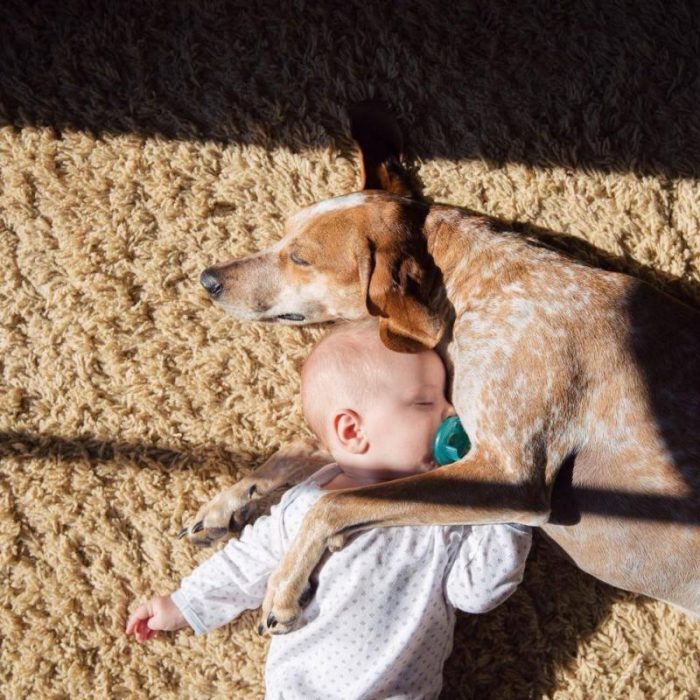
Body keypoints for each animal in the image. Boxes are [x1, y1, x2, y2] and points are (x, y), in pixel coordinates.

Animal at [183, 104, 696, 636]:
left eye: (300, 257)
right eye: (284, 230)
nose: (207, 279)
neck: (481, 284)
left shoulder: (509, 473)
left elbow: (338, 501)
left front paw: (285, 584)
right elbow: (303, 450)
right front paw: (230, 502)